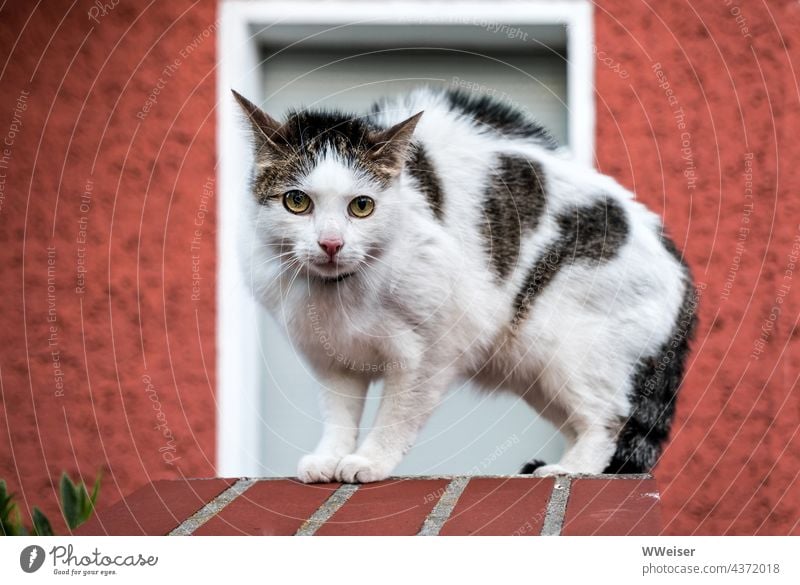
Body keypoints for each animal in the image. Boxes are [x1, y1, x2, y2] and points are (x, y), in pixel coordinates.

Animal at [230, 85, 692, 480]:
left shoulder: (432, 349)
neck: (341, 292)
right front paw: (330, 458)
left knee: (610, 420)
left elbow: (398, 414)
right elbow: (339, 415)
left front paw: (370, 461)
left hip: (571, 347)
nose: (330, 243)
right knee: (582, 421)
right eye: (297, 202)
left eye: (362, 206)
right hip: (535, 368)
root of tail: (681, 267)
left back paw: (571, 469)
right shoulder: (332, 358)